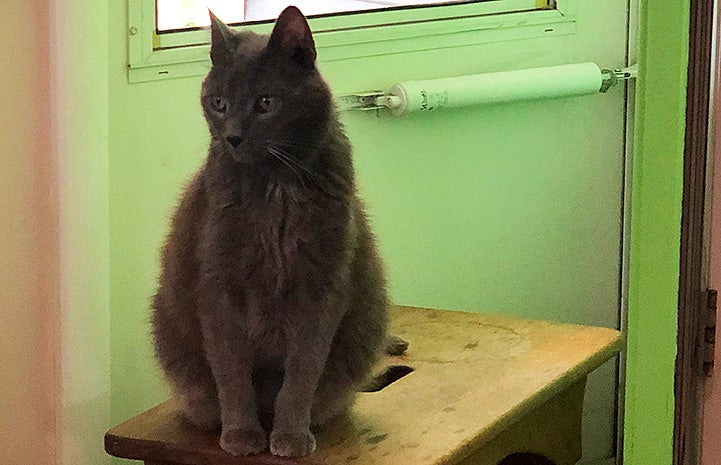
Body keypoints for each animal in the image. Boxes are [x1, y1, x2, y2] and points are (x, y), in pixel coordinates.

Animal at [150, 6, 390, 456]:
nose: (232, 136)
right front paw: (242, 435)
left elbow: (303, 370)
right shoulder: (217, 284)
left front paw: (291, 436)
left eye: (266, 102)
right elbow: (230, 370)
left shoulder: (323, 284)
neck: (274, 187)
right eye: (219, 102)